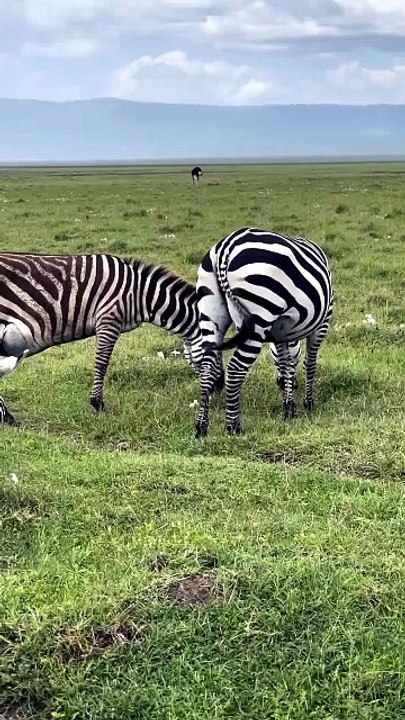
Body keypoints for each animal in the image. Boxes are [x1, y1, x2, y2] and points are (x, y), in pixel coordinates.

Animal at [0, 253, 206, 424]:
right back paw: (7, 416)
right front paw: (97, 403)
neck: (140, 295)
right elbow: (102, 363)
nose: (213, 392)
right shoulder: (109, 319)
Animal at [194, 227, 333, 437]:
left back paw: (201, 427)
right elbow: (309, 363)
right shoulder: (322, 323)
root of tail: (226, 247)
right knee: (235, 370)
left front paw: (289, 408)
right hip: (260, 314)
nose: (280, 383)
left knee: (207, 369)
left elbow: (286, 364)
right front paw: (308, 403)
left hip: (210, 314)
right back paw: (234, 427)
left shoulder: (280, 333)